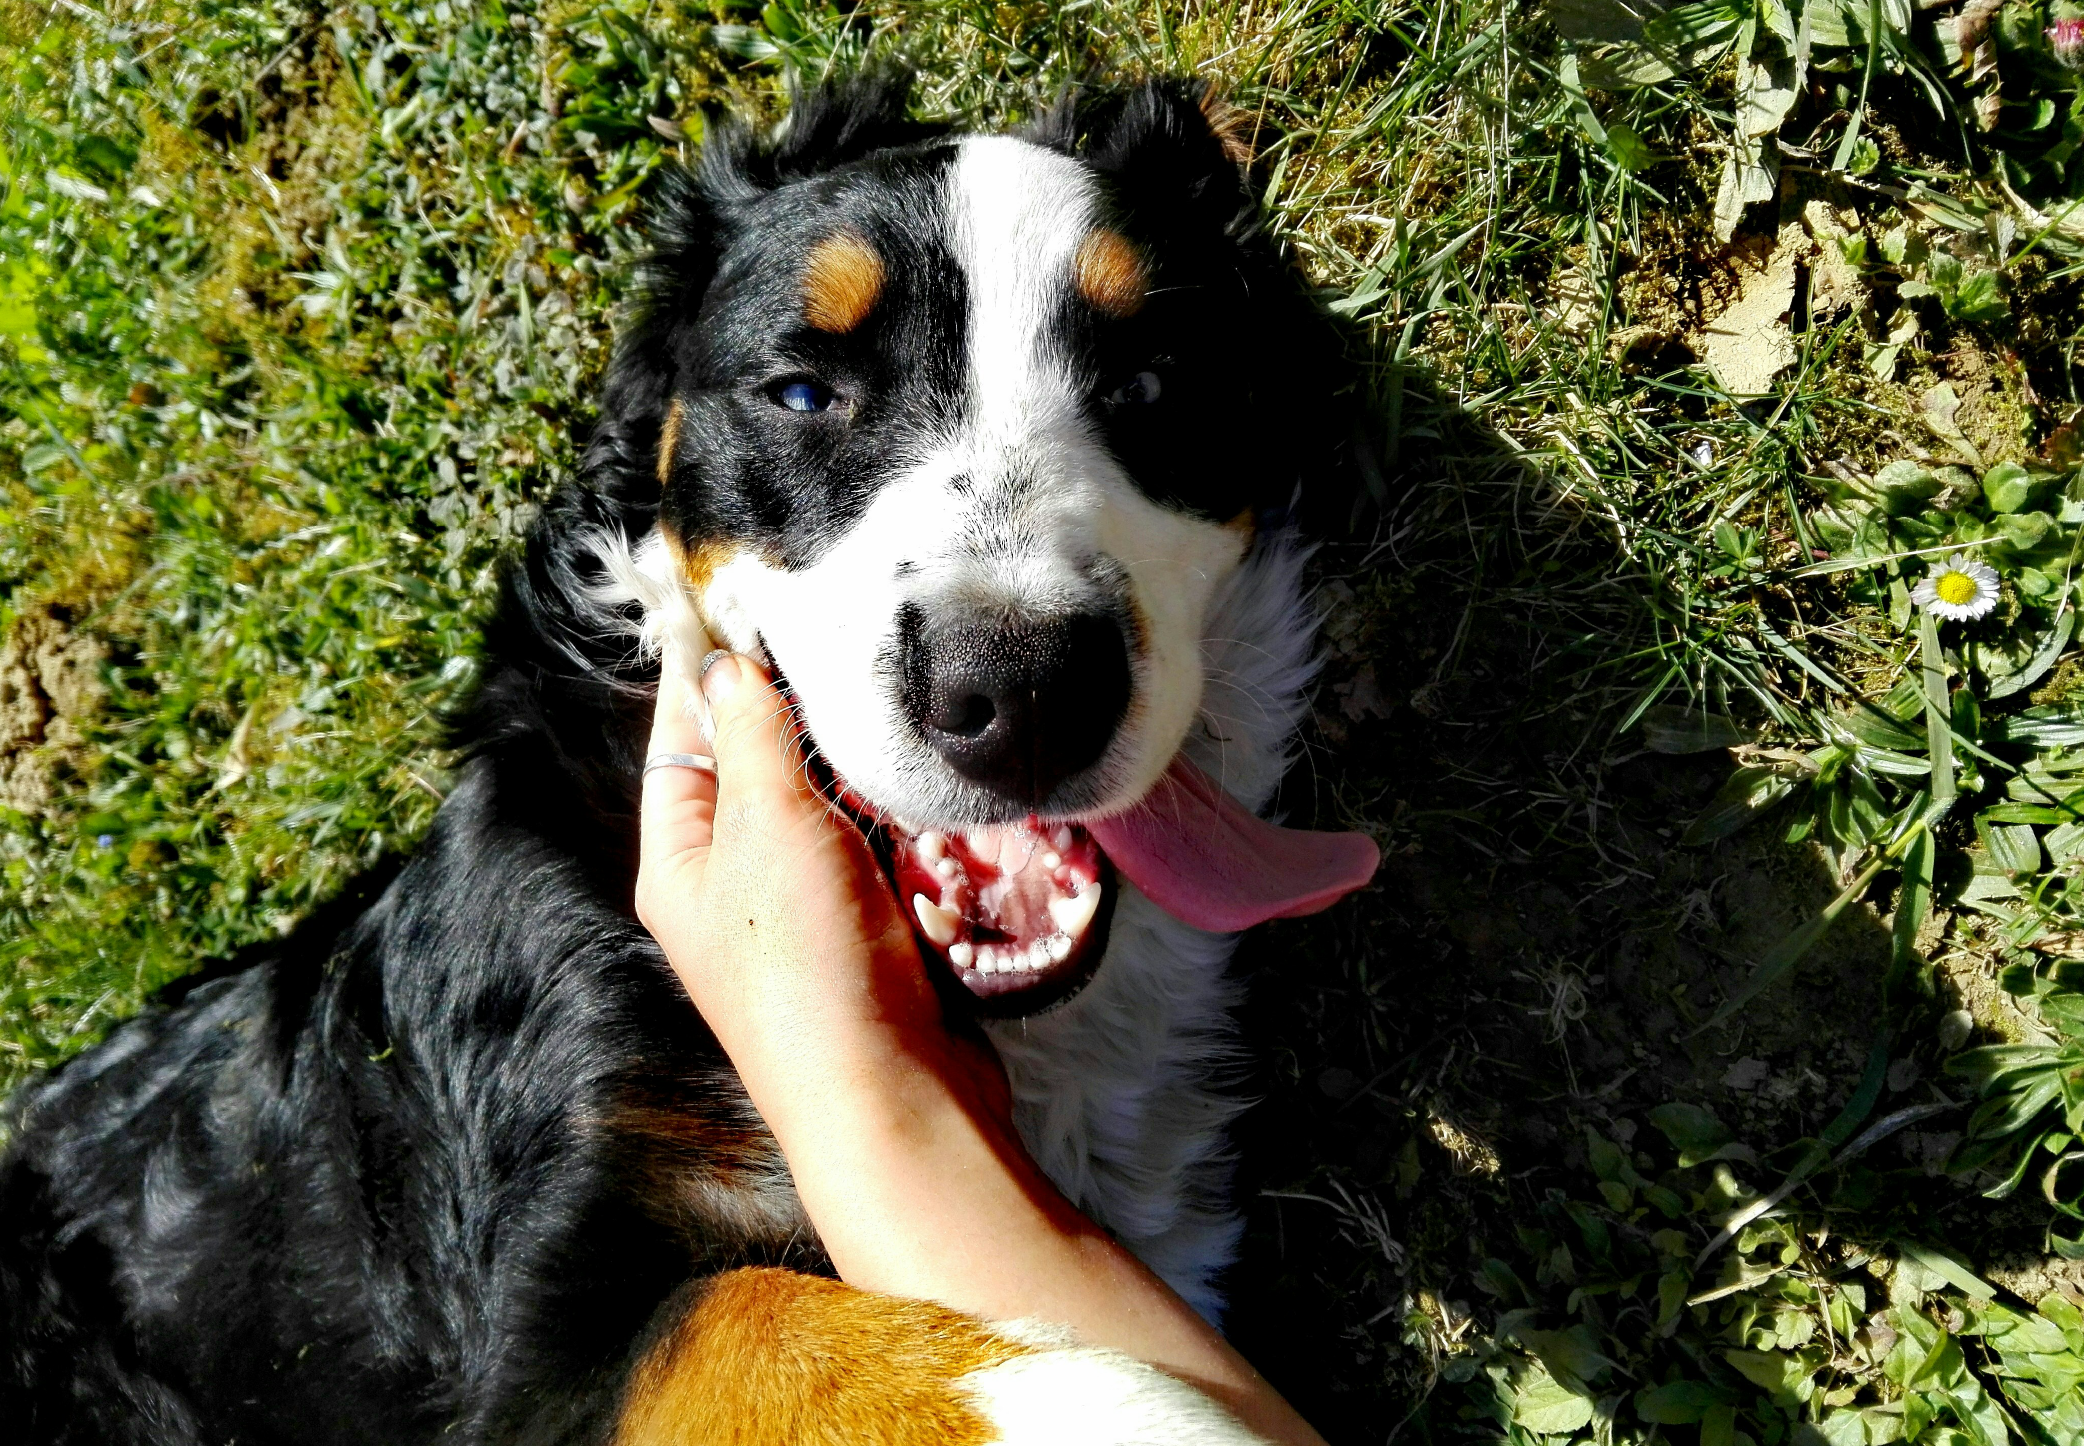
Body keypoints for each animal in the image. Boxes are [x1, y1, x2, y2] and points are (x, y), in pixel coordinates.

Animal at [0, 70, 1375, 1446]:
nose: (1020, 690)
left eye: (1151, 382)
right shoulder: (546, 1316)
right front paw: (1088, 1406)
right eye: (802, 393)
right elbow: (733, 1317)